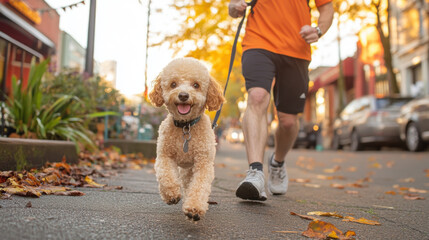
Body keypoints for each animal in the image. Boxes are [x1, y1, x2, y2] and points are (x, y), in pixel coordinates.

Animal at [148, 56, 224, 221]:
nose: (183, 95)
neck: (185, 126)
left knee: (190, 184)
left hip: (190, 168)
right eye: (173, 84)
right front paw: (171, 194)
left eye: (196, 85)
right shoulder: (164, 155)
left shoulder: (203, 163)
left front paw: (194, 208)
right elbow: (166, 175)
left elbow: (199, 186)